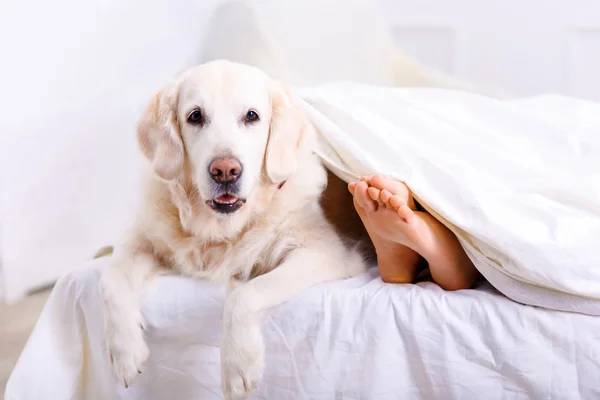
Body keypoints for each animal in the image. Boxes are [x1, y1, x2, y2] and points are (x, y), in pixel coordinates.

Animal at [99, 60, 366, 400]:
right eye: (195, 116)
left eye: (251, 115)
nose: (225, 170)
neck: (222, 228)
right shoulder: (144, 238)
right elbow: (109, 280)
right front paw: (126, 351)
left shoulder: (325, 252)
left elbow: (246, 294)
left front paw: (238, 365)